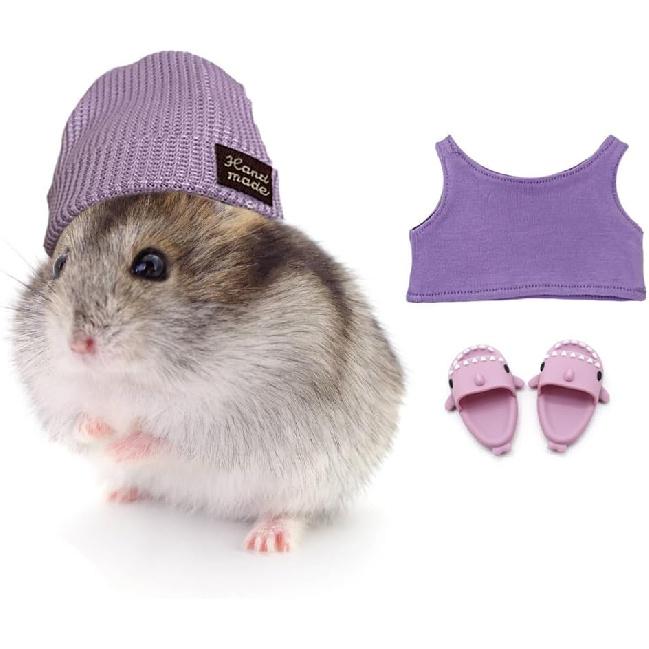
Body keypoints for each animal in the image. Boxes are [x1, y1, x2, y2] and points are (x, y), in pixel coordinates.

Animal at [12, 191, 404, 552]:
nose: (78, 345)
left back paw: (266, 541)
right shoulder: (53, 397)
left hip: (316, 481)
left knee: (294, 510)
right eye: (60, 264)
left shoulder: (236, 416)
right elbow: (76, 424)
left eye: (150, 264)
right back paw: (119, 494)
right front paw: (103, 432)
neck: (130, 378)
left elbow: (167, 437)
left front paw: (120, 446)